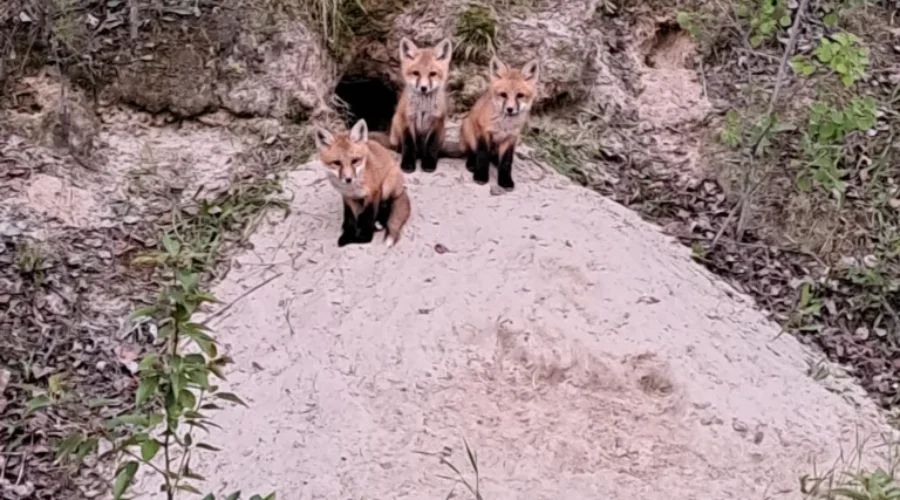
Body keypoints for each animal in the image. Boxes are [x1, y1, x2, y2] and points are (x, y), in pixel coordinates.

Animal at [314, 118, 411, 248]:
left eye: (355, 161)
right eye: (337, 163)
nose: (348, 179)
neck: (352, 188)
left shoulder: (373, 193)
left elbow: (367, 217)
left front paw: (363, 238)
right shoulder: (348, 197)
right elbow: (351, 218)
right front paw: (347, 235)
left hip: (387, 187)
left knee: (387, 205)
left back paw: (379, 223)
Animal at [381, 36, 454, 173]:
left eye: (432, 74)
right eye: (416, 73)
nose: (423, 88)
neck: (423, 107)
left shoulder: (437, 121)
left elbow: (431, 146)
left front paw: (429, 163)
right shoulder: (407, 119)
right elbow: (409, 145)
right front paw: (408, 164)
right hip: (396, 123)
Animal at [459, 55, 540, 190]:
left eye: (520, 95)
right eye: (503, 95)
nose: (510, 109)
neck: (504, 125)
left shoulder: (511, 138)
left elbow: (506, 162)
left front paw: (505, 181)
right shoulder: (484, 132)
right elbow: (482, 156)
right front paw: (481, 176)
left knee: (495, 158)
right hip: (469, 132)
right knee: (472, 152)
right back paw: (471, 164)